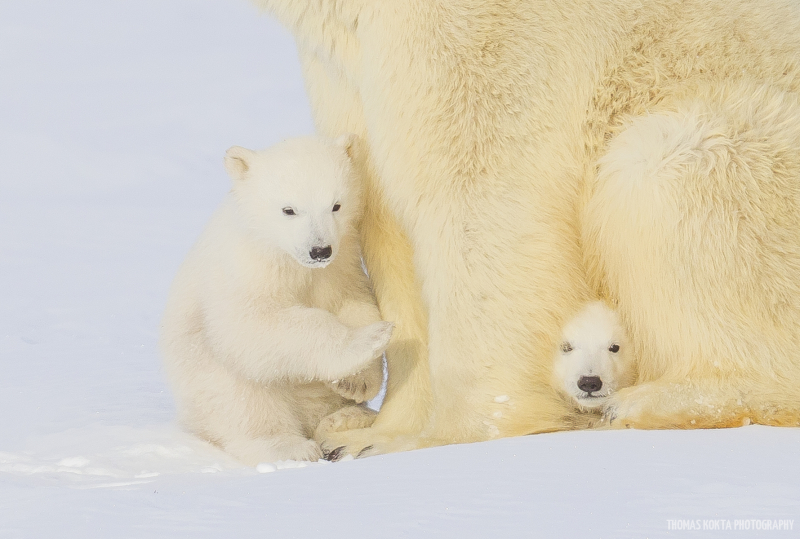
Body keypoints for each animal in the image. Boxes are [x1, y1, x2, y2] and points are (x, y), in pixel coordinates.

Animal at [253, 0, 800, 456]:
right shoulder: (345, 65)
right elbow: (383, 216)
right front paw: (369, 434)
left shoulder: (492, 37)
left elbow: (481, 193)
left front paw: (441, 437)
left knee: (667, 164)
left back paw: (644, 403)